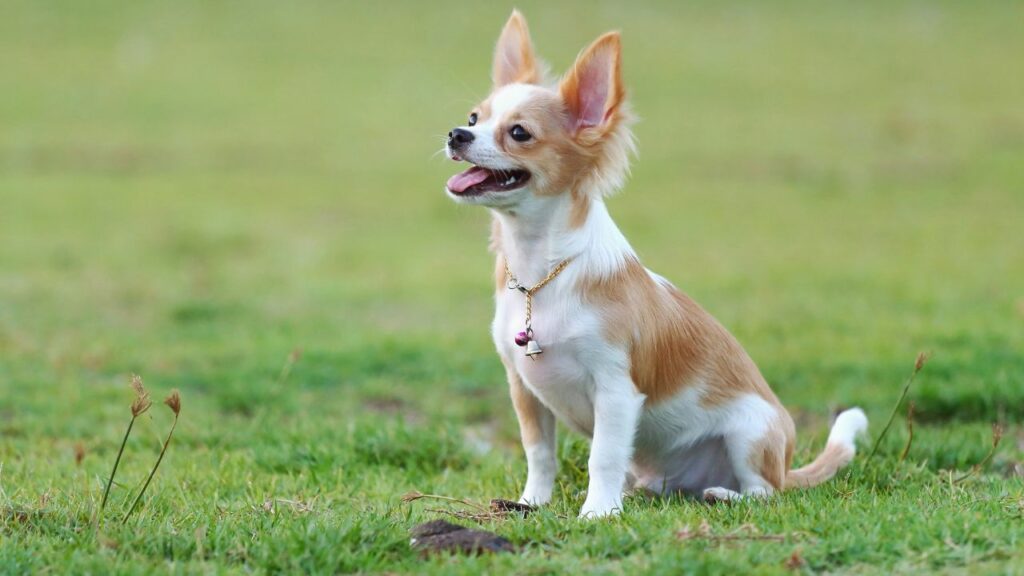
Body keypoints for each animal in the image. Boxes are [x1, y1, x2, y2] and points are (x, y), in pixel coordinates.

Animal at [444, 12, 868, 516]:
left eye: (519, 133)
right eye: (475, 118)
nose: (456, 134)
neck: (540, 274)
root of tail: (787, 466)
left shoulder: (616, 392)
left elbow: (602, 455)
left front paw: (597, 513)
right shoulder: (524, 388)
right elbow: (539, 453)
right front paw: (532, 503)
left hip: (752, 433)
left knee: (764, 492)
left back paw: (723, 494)